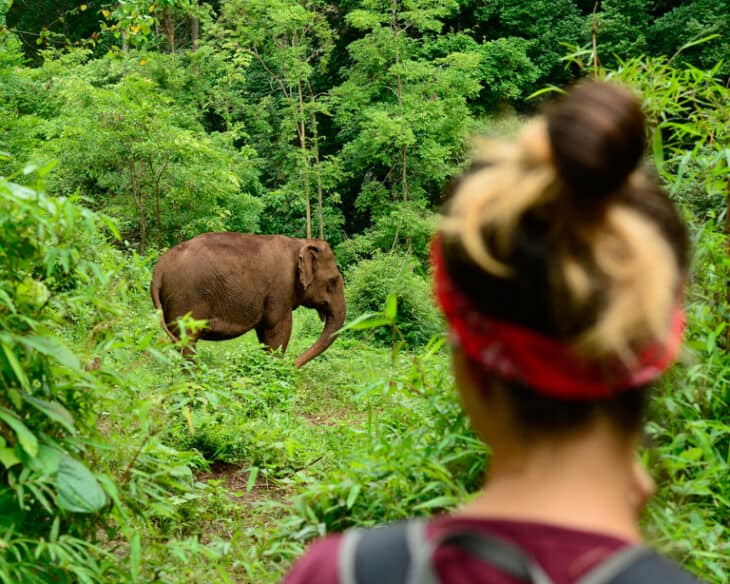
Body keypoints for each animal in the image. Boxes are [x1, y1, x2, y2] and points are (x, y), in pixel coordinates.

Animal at [150, 233, 346, 367]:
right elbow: (280, 330)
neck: (299, 242)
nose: (293, 364)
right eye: (334, 280)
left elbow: (264, 333)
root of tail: (158, 269)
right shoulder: (279, 291)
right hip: (185, 298)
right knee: (187, 341)